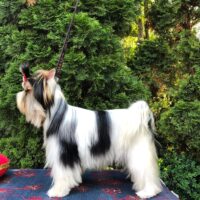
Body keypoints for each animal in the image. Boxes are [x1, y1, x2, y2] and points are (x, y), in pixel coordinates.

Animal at [16, 66, 162, 198]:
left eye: (28, 90)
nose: (19, 95)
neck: (58, 114)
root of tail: (143, 119)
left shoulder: (63, 153)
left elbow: (62, 174)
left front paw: (58, 191)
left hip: (139, 151)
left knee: (147, 173)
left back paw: (147, 192)